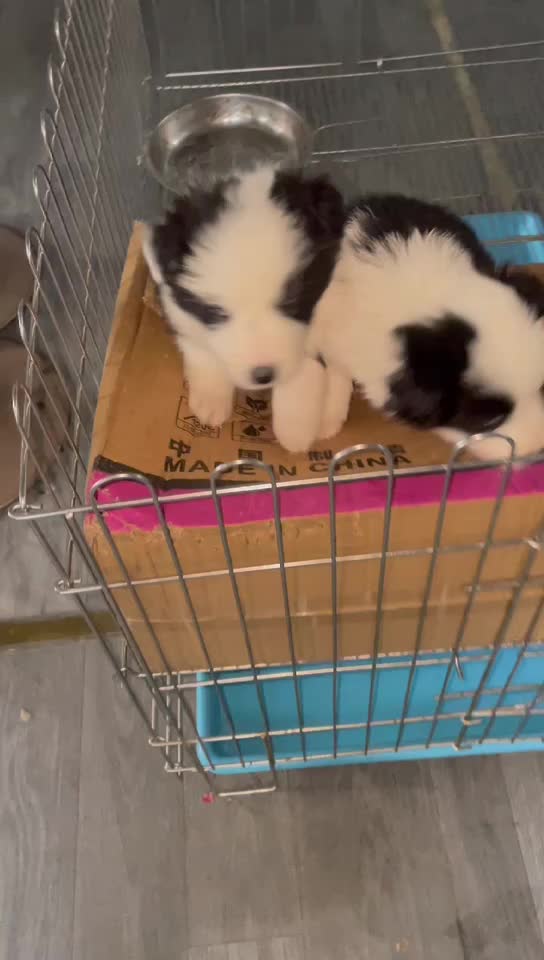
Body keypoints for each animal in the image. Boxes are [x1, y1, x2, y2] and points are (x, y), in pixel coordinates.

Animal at [142, 164, 347, 451]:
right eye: (216, 313)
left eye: (293, 301)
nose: (263, 375)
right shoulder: (179, 309)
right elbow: (200, 347)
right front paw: (210, 399)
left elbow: (306, 366)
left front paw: (295, 430)